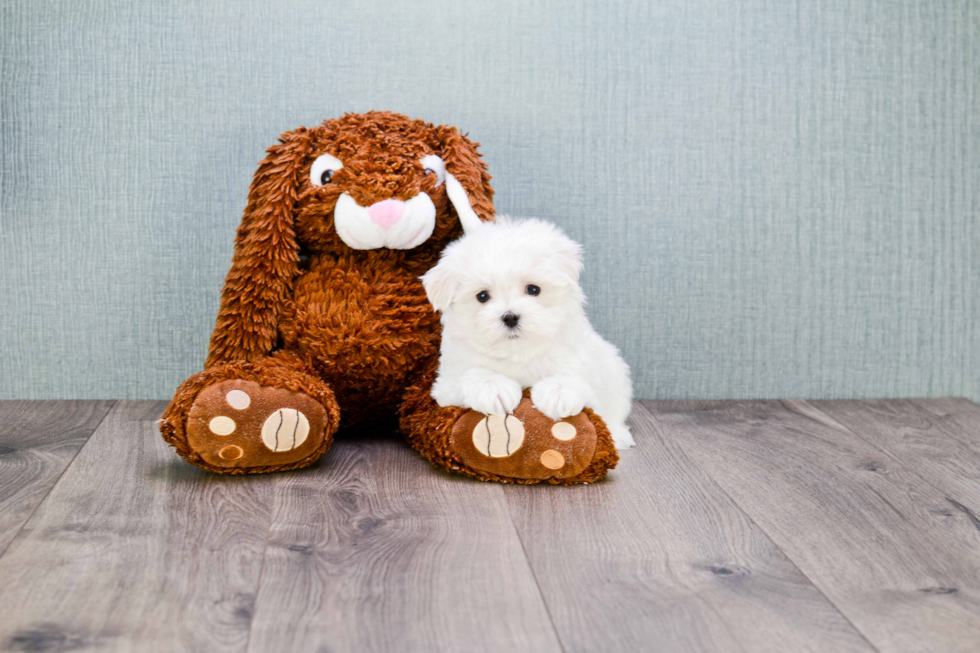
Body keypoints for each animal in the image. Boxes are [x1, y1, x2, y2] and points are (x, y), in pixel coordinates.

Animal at [422, 215, 636, 448]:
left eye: (533, 289)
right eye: (482, 296)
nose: (510, 317)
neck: (519, 351)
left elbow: (573, 378)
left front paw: (558, 391)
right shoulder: (446, 384)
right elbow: (473, 374)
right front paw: (494, 387)